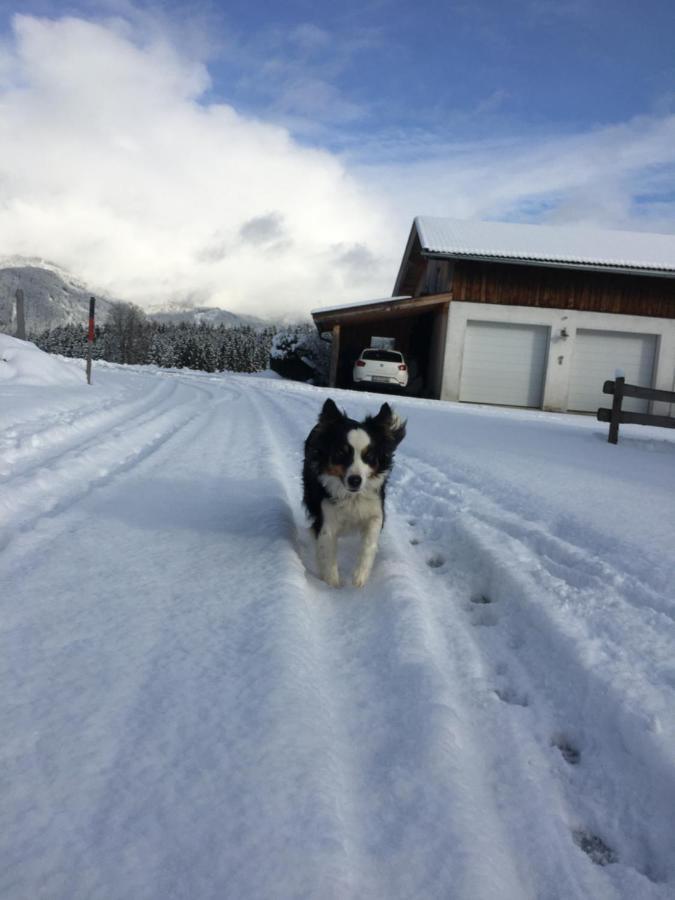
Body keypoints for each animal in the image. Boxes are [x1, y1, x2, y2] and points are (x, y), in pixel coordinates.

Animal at [302, 400, 406, 592]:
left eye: (369, 456)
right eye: (341, 453)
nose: (355, 480)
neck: (352, 497)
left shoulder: (375, 510)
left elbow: (369, 543)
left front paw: (359, 577)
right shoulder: (327, 518)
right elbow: (327, 551)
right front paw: (332, 585)